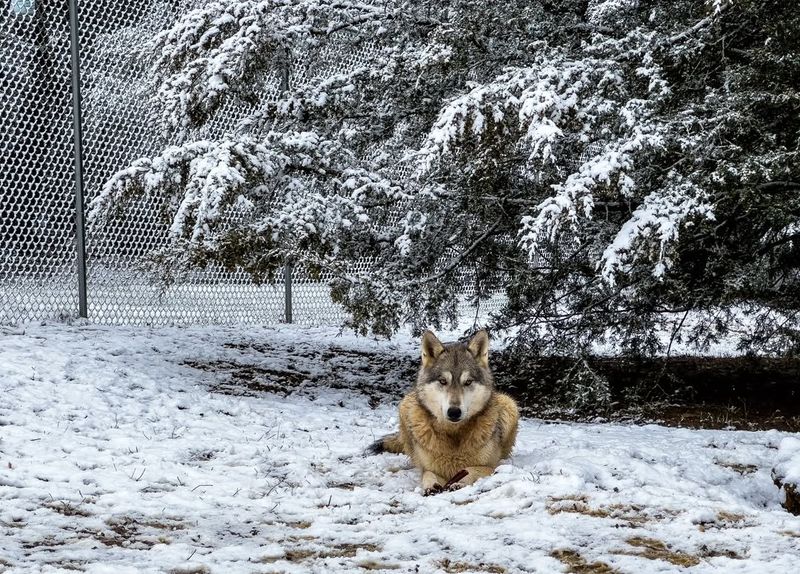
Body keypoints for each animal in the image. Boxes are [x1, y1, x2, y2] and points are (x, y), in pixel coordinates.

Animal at [368, 330, 520, 498]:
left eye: (468, 382)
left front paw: (459, 483)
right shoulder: (429, 467)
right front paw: (431, 485)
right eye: (442, 381)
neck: (453, 434)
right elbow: (428, 474)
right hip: (405, 406)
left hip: (509, 404)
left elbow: (469, 470)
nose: (454, 412)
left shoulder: (490, 466)